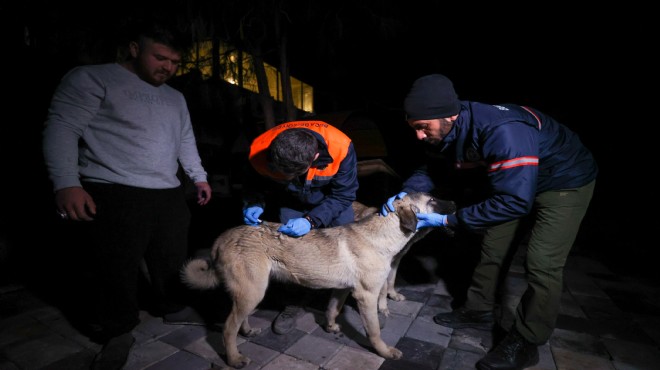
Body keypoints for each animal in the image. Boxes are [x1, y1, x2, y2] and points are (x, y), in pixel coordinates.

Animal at [183, 191, 456, 368]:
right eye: (432, 200)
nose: (455, 203)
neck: (381, 234)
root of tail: (221, 238)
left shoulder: (342, 290)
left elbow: (333, 309)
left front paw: (331, 327)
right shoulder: (366, 296)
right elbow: (375, 330)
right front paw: (385, 351)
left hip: (252, 291)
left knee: (240, 318)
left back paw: (248, 331)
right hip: (253, 291)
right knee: (228, 327)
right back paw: (234, 359)